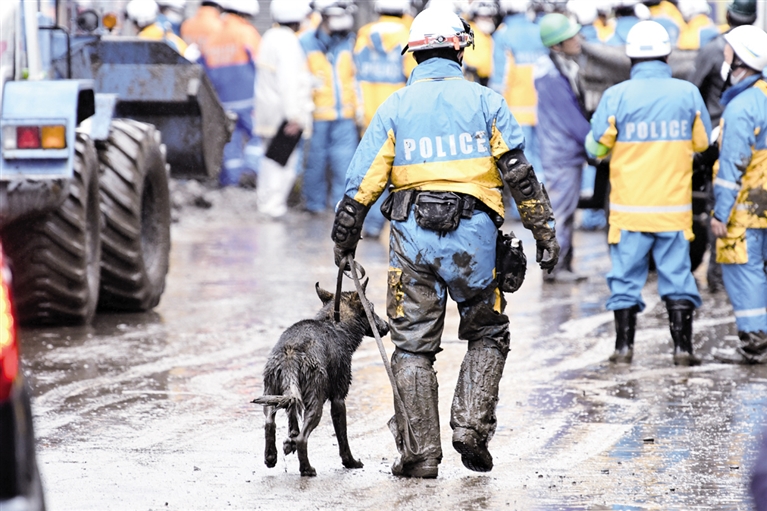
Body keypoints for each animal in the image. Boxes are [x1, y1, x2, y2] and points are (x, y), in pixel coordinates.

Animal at [254, 280, 390, 476]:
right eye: (371, 308)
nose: (386, 326)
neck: (337, 324)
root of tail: (291, 354)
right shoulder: (339, 398)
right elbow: (343, 438)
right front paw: (351, 462)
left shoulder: (292, 396)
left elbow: (292, 422)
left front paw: (289, 441)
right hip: (315, 400)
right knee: (303, 438)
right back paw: (307, 469)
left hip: (271, 393)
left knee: (270, 422)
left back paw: (271, 457)